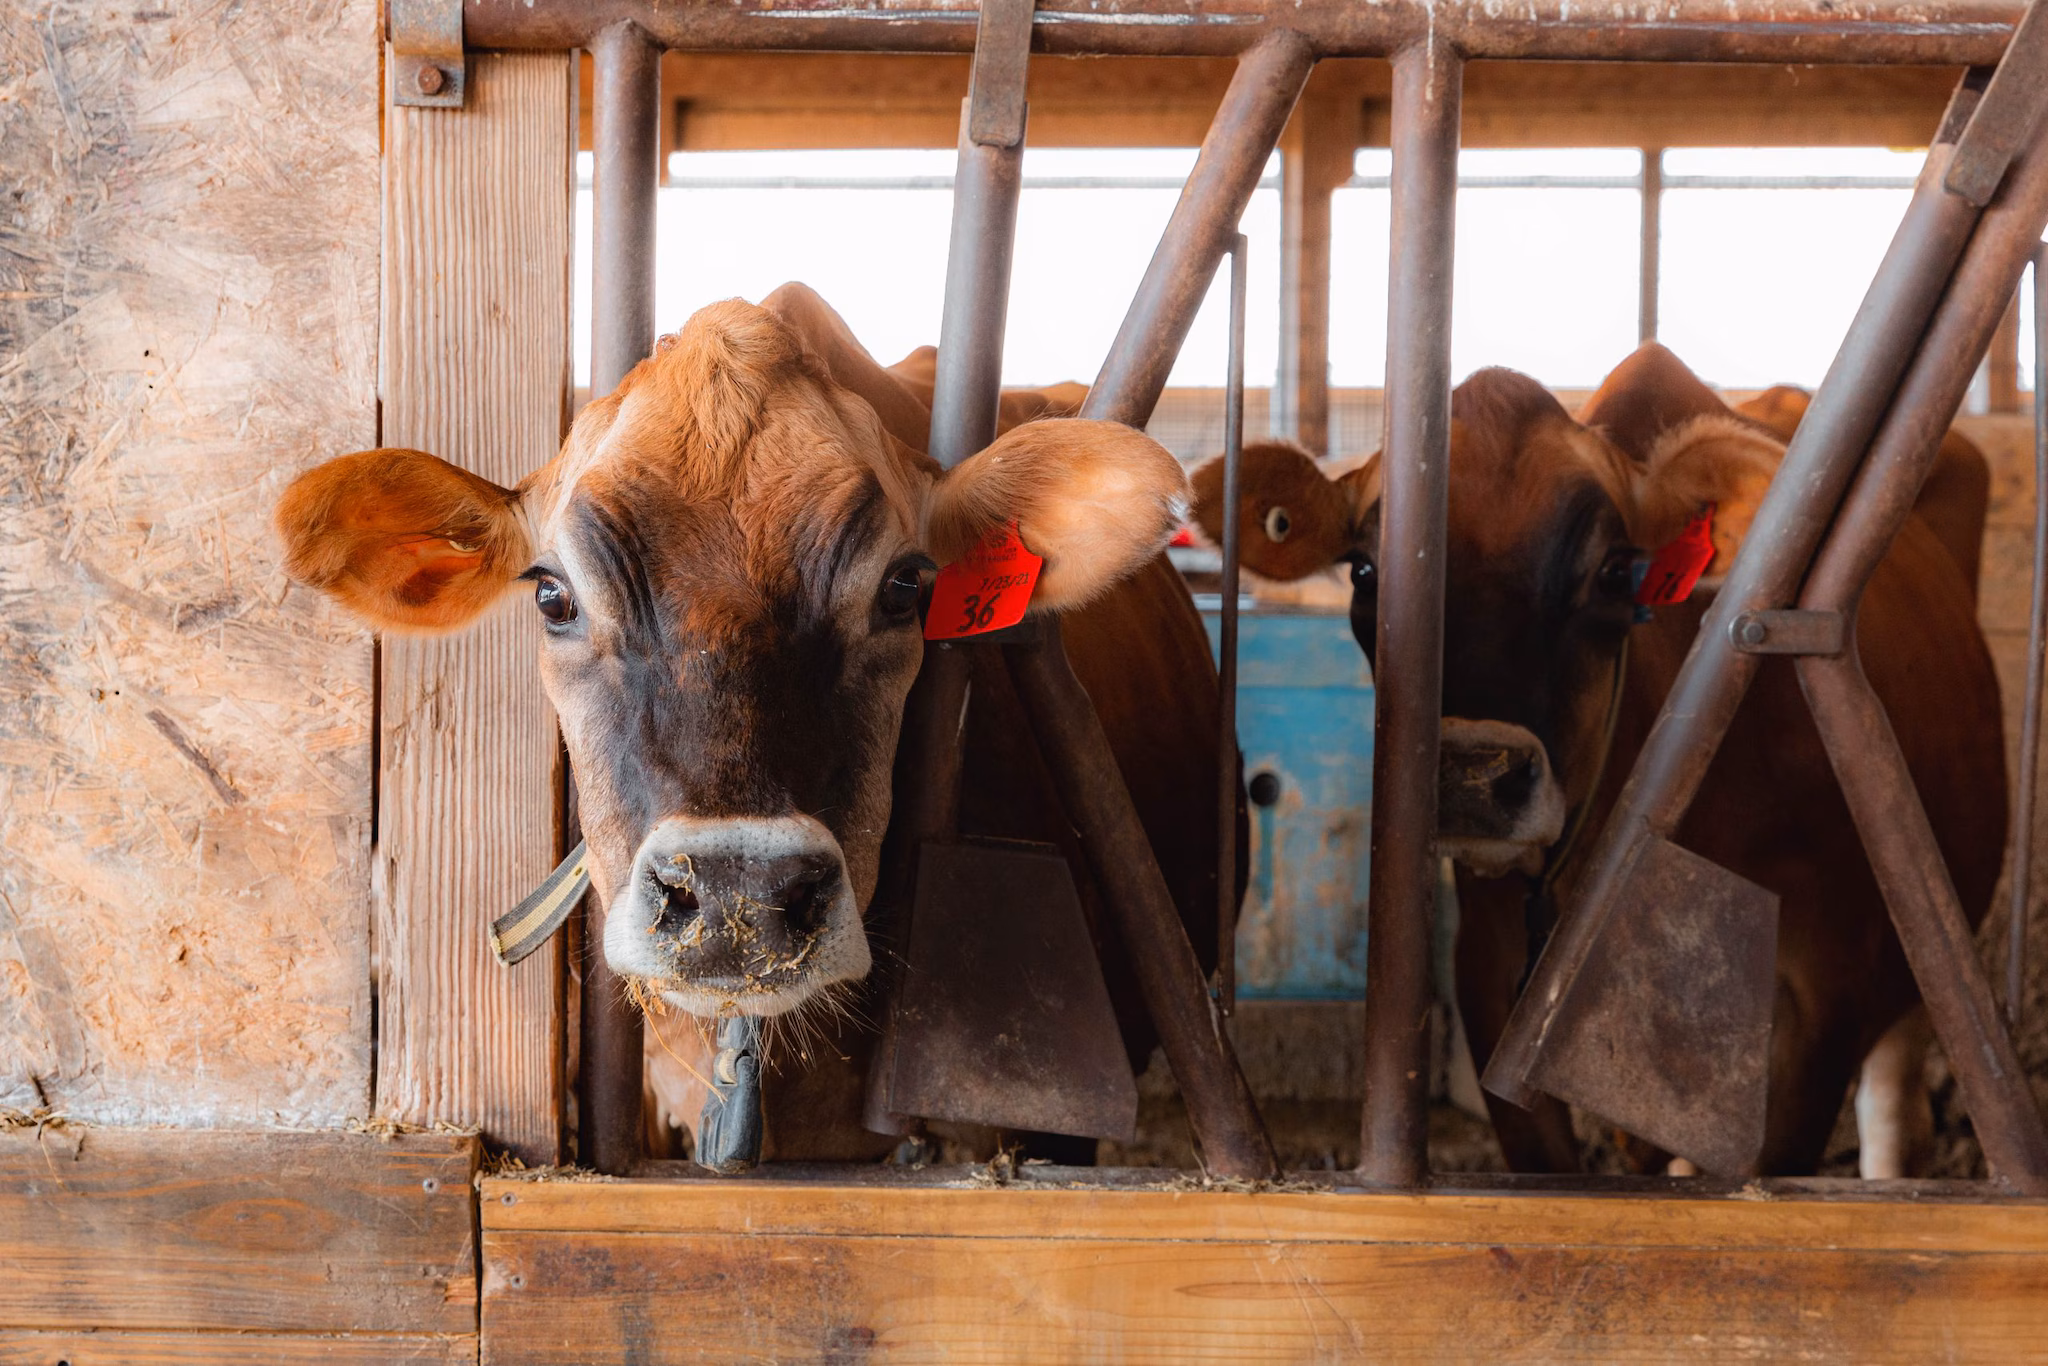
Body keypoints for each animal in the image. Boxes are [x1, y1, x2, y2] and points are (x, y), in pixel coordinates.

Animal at [1192, 343, 2005, 1177]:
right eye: (1364, 573)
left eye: (1616, 572)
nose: (1469, 774)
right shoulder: (1491, 974)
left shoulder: (1829, 996)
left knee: (1894, 1116)